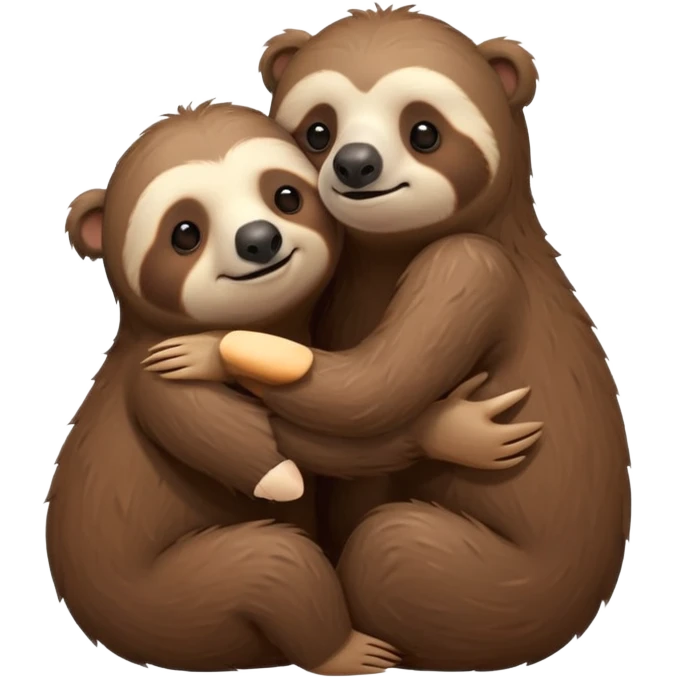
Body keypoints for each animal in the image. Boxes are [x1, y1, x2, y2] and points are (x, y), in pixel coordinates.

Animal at [46, 99, 540, 674]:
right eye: (184, 232)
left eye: (286, 196)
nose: (259, 239)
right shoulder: (152, 380)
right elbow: (284, 465)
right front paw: (449, 429)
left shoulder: (466, 270)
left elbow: (346, 414)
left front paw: (210, 349)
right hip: (163, 602)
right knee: (276, 564)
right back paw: (344, 650)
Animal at [151, 5, 632, 672]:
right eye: (318, 131)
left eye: (424, 131)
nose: (356, 162)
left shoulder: (468, 269)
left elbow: (370, 390)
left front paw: (208, 350)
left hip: (508, 589)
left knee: (394, 546)